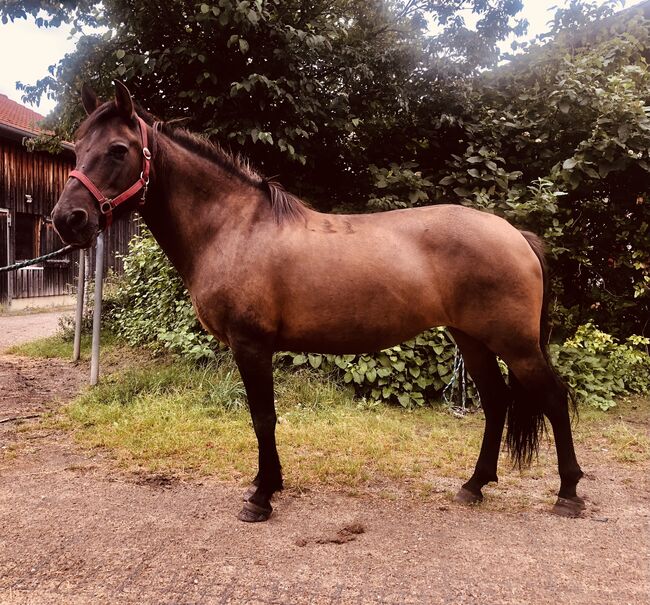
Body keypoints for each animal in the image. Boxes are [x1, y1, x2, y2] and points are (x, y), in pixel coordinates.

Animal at [54, 82, 584, 520]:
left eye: (118, 149)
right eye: (77, 149)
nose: (68, 219)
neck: (234, 228)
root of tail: (515, 234)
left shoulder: (251, 345)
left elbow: (262, 418)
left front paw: (261, 497)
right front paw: (267, 485)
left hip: (515, 344)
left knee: (553, 398)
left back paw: (568, 494)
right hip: (471, 339)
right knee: (496, 402)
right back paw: (474, 485)